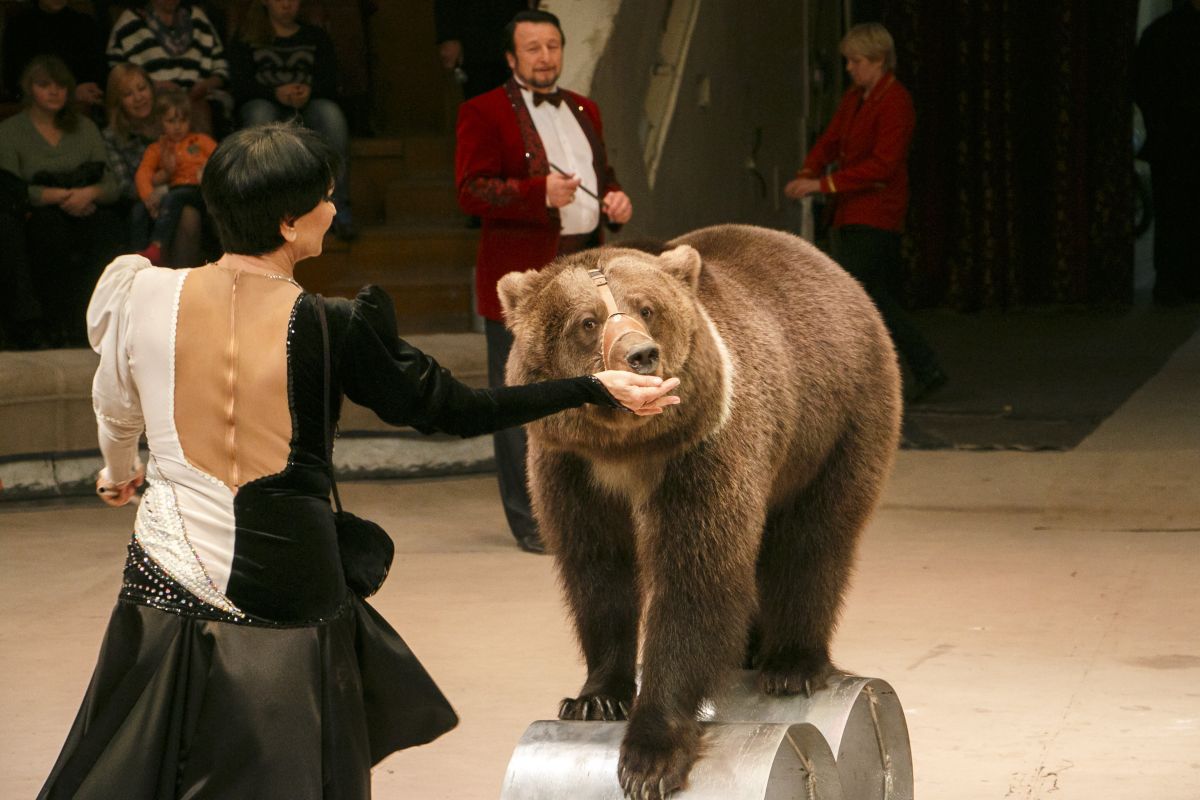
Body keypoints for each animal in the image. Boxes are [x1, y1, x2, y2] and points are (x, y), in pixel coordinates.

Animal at [496, 224, 901, 799]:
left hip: (837, 422)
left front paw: (650, 755)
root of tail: (825, 262)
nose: (641, 354)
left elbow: (695, 576)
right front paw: (595, 696)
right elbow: (597, 570)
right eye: (587, 321)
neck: (626, 452)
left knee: (812, 539)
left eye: (646, 309)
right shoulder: (573, 471)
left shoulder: (704, 452)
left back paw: (790, 662)